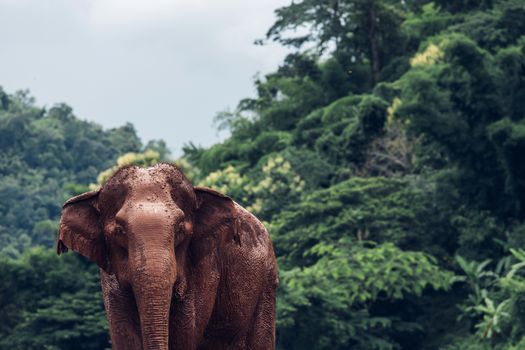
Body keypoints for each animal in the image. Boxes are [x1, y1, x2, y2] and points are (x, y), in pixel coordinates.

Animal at [56, 164, 278, 350]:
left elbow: (184, 332)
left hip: (267, 284)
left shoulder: (204, 267)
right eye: (120, 231)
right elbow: (124, 333)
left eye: (180, 229)